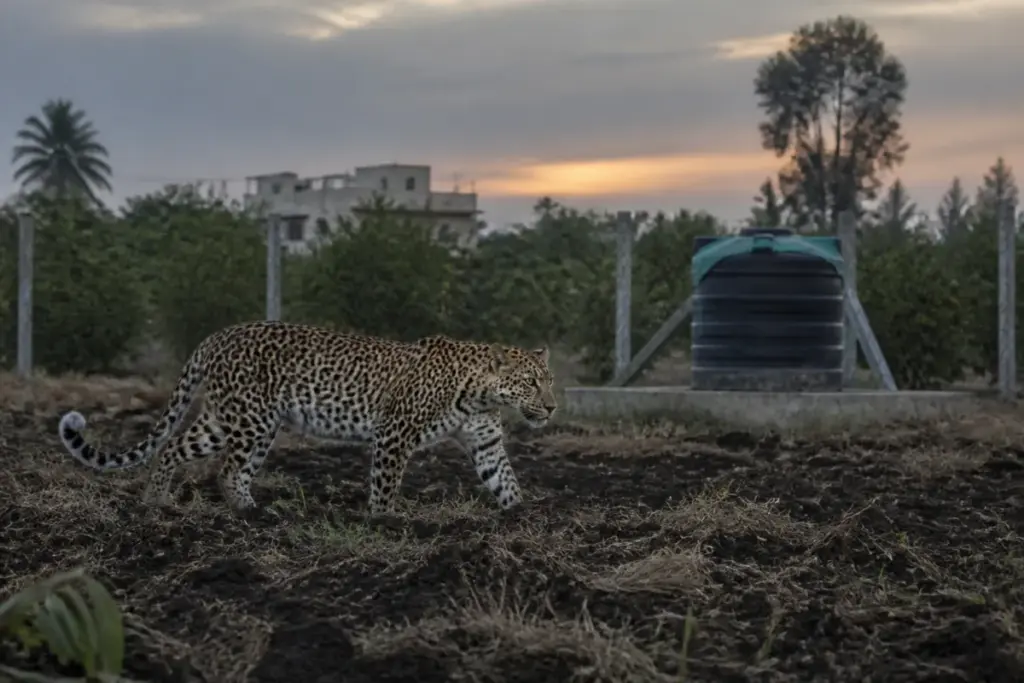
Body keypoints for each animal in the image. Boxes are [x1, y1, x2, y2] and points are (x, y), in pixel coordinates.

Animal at [57, 320, 557, 515]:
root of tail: (218, 336)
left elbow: (505, 479)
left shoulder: (485, 442)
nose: (552, 407)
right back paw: (252, 516)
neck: (479, 394)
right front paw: (385, 522)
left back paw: (156, 503)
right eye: (531, 383)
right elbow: (385, 484)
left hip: (227, 419)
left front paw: (522, 517)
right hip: (253, 419)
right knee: (227, 470)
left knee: (177, 448)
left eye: (549, 381)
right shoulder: (394, 434)